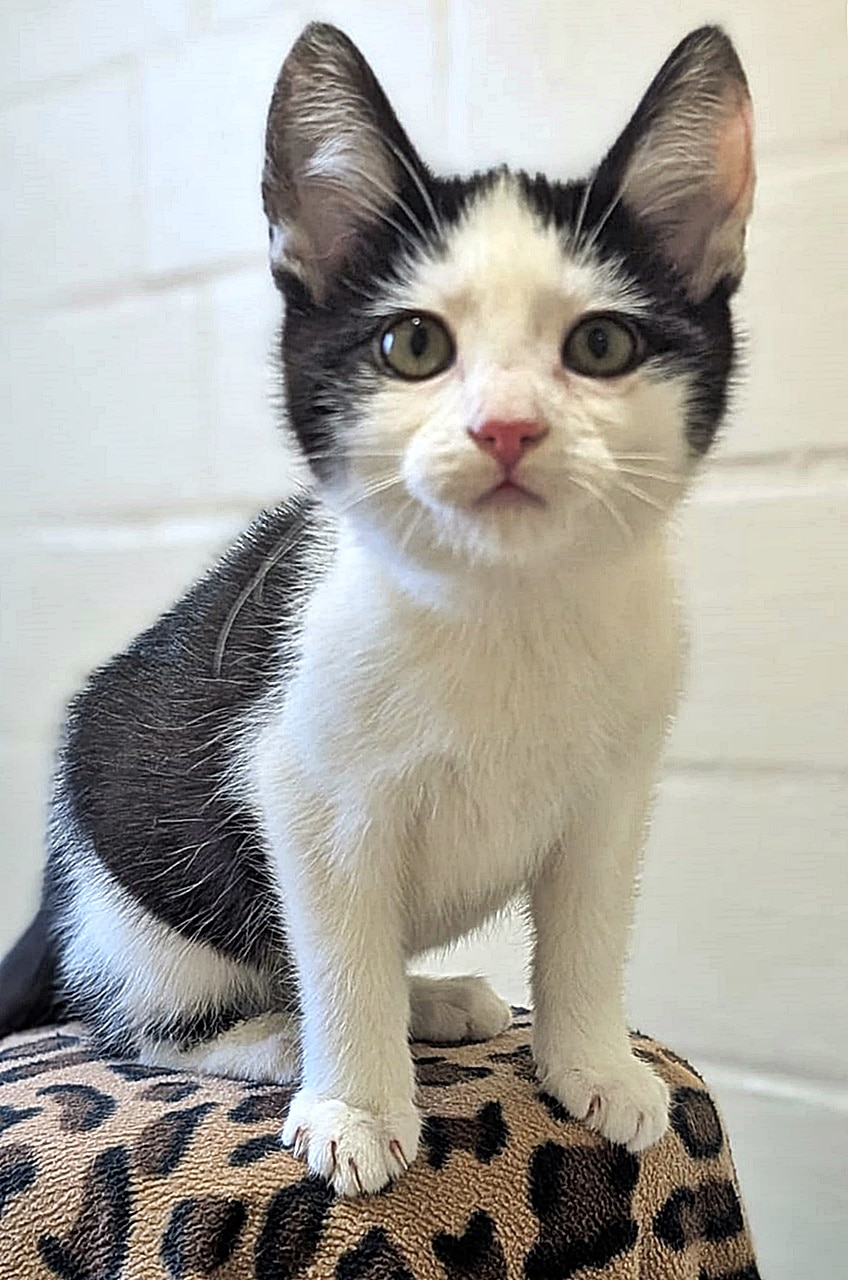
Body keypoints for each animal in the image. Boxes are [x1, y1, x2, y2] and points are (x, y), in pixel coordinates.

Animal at [0, 22, 754, 1196]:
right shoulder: (300, 784)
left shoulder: (617, 783)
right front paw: (355, 1101)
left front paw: (591, 1061)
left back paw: (430, 997)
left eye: (600, 347)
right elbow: (340, 945)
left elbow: (587, 927)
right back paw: (275, 1037)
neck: (503, 606)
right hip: (140, 909)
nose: (505, 428)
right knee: (137, 1015)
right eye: (413, 346)